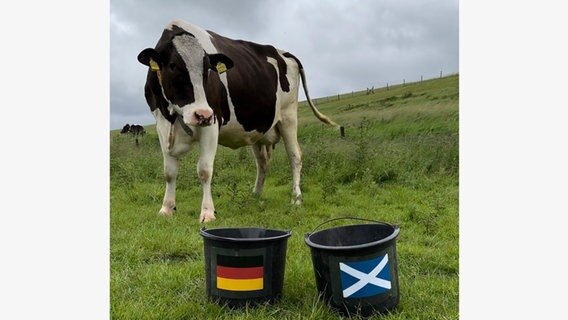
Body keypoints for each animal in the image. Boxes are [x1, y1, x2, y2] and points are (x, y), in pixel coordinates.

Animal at [137, 20, 338, 224]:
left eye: (207, 69)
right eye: (173, 65)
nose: (202, 114)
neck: (173, 114)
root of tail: (284, 53)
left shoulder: (212, 122)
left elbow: (204, 170)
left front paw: (208, 212)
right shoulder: (161, 125)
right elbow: (169, 172)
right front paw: (167, 208)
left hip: (288, 116)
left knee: (295, 156)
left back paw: (296, 198)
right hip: (259, 130)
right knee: (262, 162)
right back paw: (255, 194)